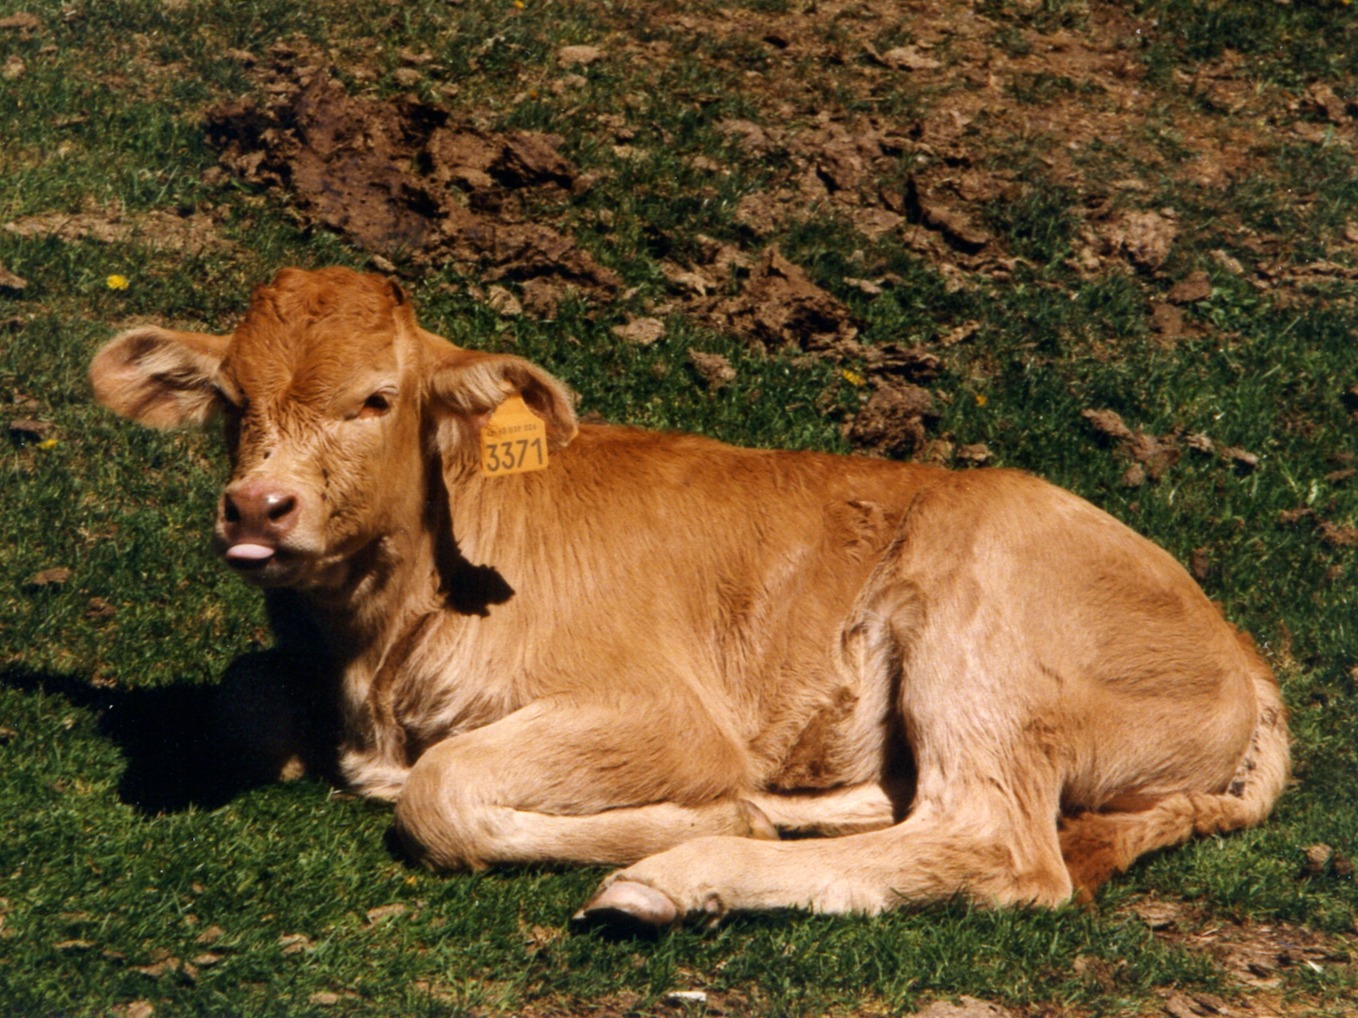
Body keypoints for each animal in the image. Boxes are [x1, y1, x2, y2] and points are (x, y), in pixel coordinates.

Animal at [90, 264, 1287, 933]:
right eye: (230, 400)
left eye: (376, 400)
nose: (258, 507)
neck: (375, 655)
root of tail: (1245, 654)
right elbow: (245, 696)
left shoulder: (660, 712)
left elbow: (443, 788)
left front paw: (695, 819)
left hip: (982, 626)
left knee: (994, 840)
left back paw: (679, 874)